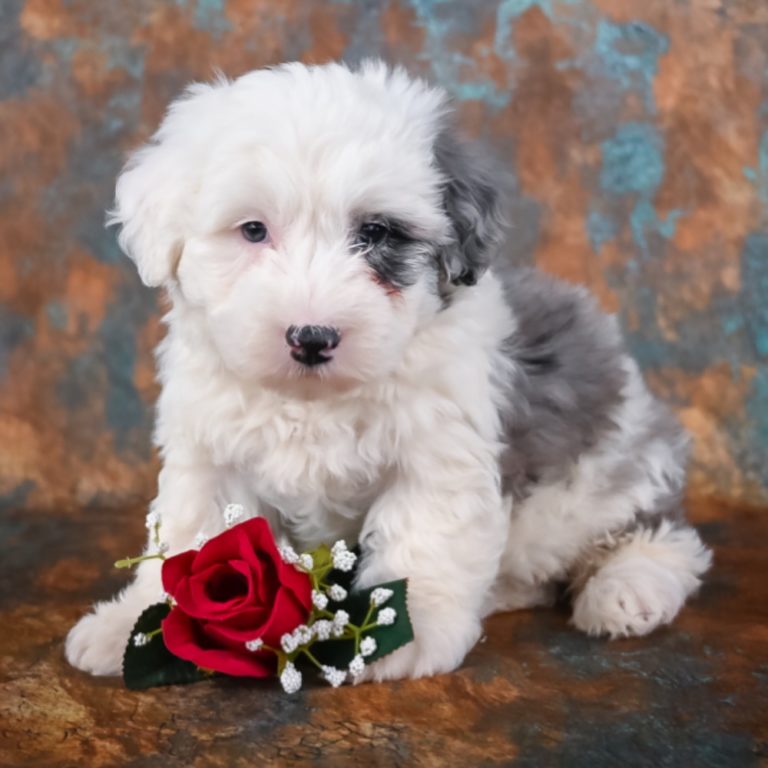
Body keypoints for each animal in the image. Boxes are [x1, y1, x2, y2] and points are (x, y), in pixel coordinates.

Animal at [64, 63, 708, 680]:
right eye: (252, 230)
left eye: (374, 234)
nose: (312, 337)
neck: (312, 401)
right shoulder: (207, 453)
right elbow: (188, 540)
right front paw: (133, 626)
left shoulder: (439, 453)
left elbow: (422, 540)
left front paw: (402, 635)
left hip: (605, 478)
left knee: (663, 535)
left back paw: (628, 590)